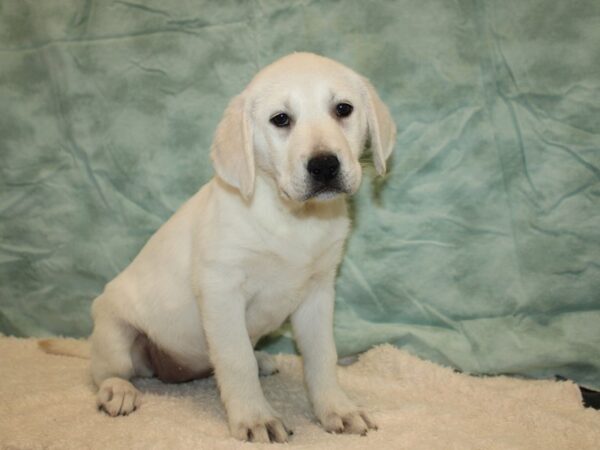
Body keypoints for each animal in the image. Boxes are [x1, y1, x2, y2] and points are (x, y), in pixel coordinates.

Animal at [75, 52, 394, 442]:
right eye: (281, 119)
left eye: (343, 109)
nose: (324, 165)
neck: (293, 219)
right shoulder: (221, 289)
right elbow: (235, 358)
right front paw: (256, 418)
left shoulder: (318, 292)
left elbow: (322, 357)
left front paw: (337, 409)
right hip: (115, 334)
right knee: (104, 372)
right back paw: (118, 390)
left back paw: (262, 360)